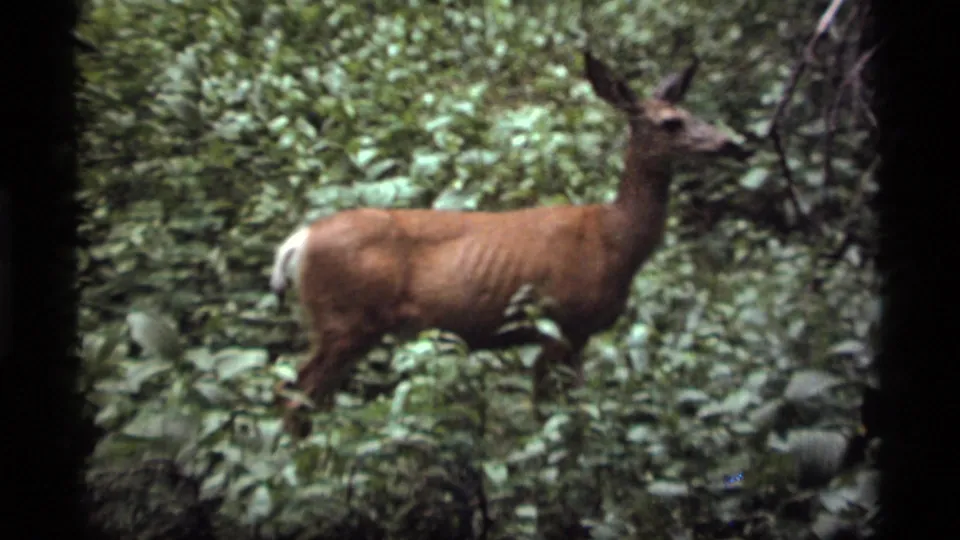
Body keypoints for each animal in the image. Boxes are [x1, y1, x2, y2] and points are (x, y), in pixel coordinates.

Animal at [269, 51, 752, 437]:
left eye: (690, 111)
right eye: (671, 123)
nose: (735, 144)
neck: (615, 240)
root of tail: (298, 242)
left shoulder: (577, 335)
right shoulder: (558, 322)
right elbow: (547, 412)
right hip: (344, 320)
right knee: (295, 391)